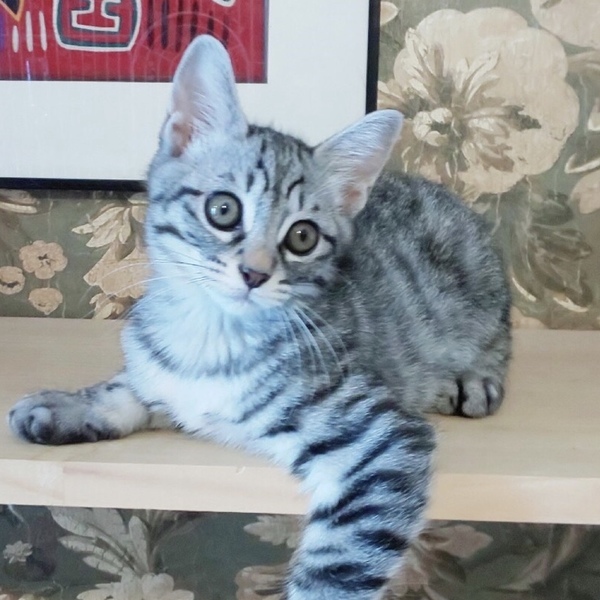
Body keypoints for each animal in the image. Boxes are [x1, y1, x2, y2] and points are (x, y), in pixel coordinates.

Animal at [9, 35, 511, 600]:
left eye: (302, 236)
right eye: (223, 209)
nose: (254, 272)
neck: (208, 338)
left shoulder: (382, 441)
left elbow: (339, 564)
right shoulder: (165, 377)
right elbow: (128, 388)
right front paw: (67, 405)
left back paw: (469, 380)